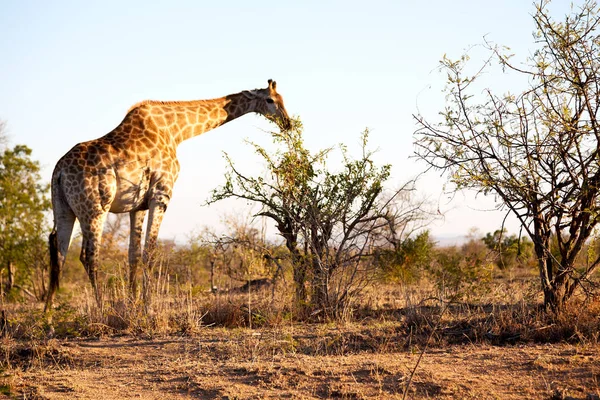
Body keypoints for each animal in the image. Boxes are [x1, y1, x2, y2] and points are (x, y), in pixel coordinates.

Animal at [45, 78, 292, 310]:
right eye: (270, 100)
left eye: (283, 99)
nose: (288, 123)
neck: (176, 132)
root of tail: (59, 171)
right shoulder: (161, 194)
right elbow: (150, 252)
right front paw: (147, 306)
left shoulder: (138, 205)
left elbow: (134, 255)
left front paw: (133, 303)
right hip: (95, 209)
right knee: (88, 256)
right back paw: (101, 308)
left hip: (63, 208)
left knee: (59, 254)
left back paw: (48, 314)